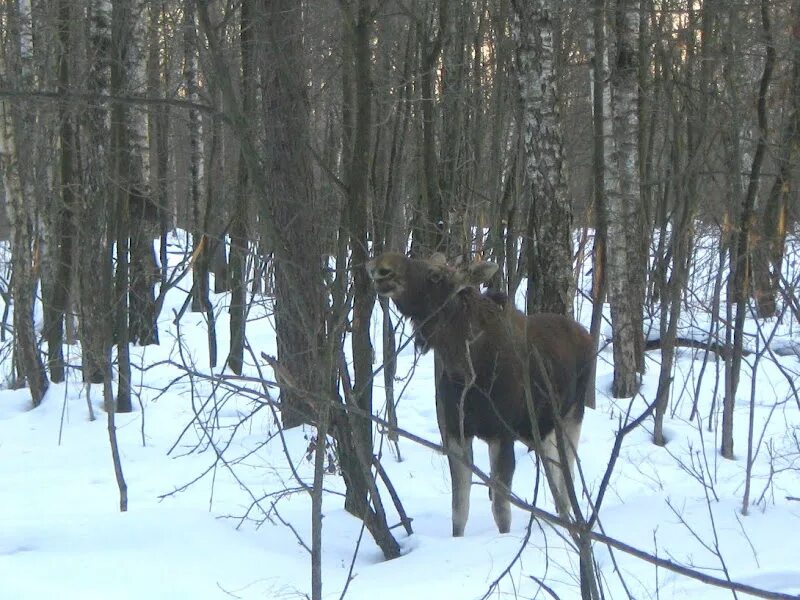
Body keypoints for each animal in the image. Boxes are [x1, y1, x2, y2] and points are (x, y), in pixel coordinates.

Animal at [368, 251, 592, 536]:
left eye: (435, 275)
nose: (381, 267)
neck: (464, 371)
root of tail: (586, 334)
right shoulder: (456, 434)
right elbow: (459, 510)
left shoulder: (501, 435)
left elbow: (501, 511)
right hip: (542, 428)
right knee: (555, 469)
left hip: (573, 414)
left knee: (567, 474)